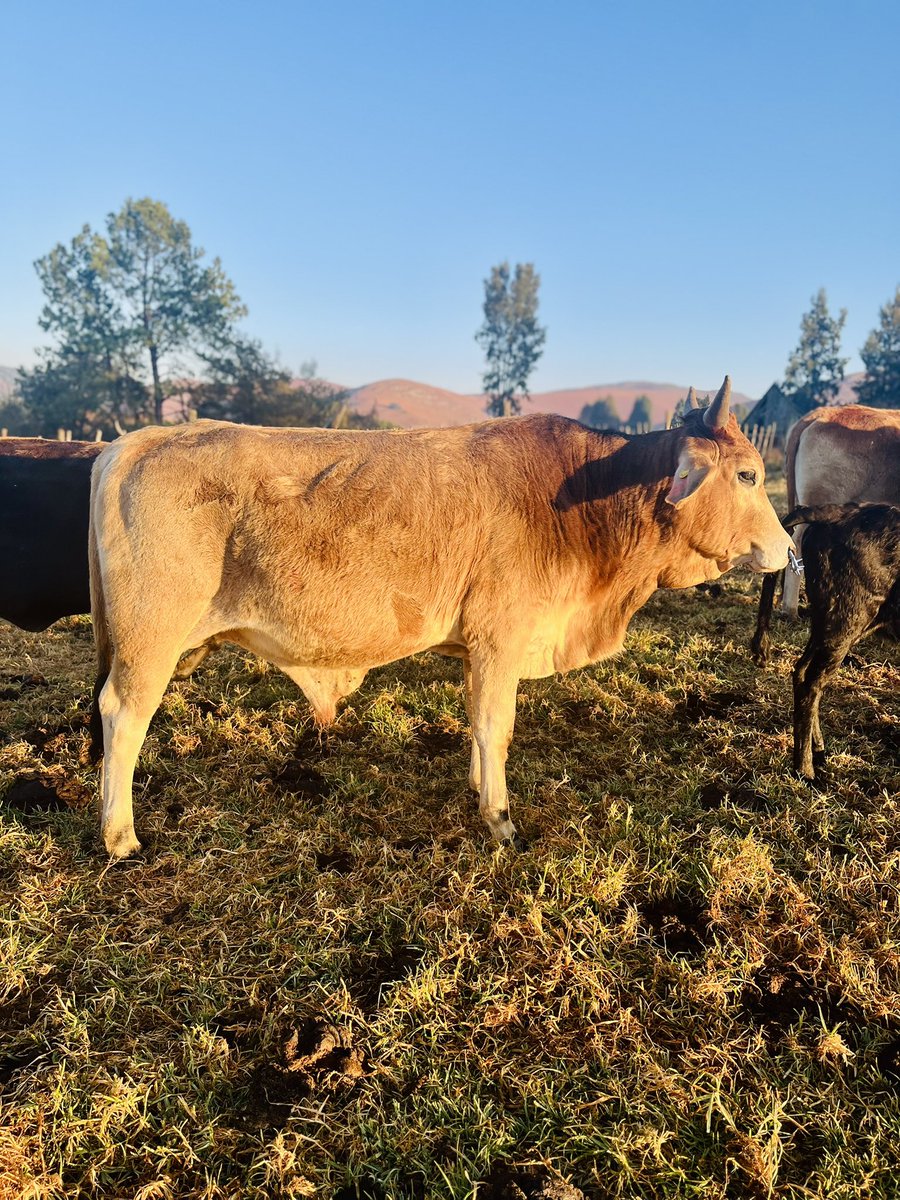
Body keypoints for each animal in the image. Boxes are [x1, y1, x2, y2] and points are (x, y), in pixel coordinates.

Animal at [88, 377, 792, 859]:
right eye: (748, 475)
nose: (788, 549)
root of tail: (131, 443)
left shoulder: (483, 649)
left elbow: (479, 728)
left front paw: (481, 791)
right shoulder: (501, 639)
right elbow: (496, 729)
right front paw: (500, 818)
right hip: (150, 640)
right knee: (123, 715)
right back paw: (120, 835)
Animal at [754, 503, 900, 780]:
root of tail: (838, 512)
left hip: (827, 623)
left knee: (801, 673)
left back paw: (817, 749)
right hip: (845, 622)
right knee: (810, 684)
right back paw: (804, 769)